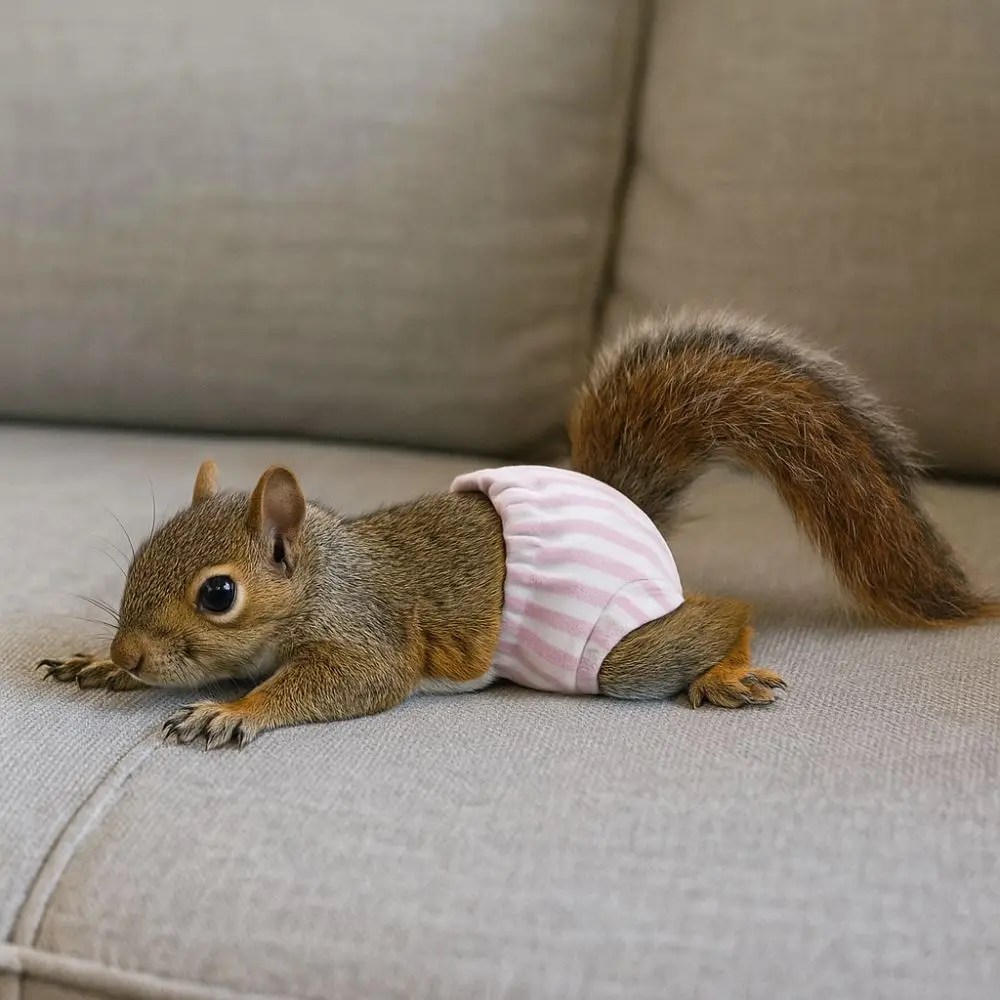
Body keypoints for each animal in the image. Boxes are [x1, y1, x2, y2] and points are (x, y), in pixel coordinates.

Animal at [38, 311, 997, 749]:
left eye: (219, 594)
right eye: (135, 561)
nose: (127, 653)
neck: (325, 573)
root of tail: (619, 502)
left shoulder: (369, 635)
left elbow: (349, 683)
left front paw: (232, 711)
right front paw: (97, 666)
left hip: (614, 652)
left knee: (717, 615)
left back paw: (725, 667)